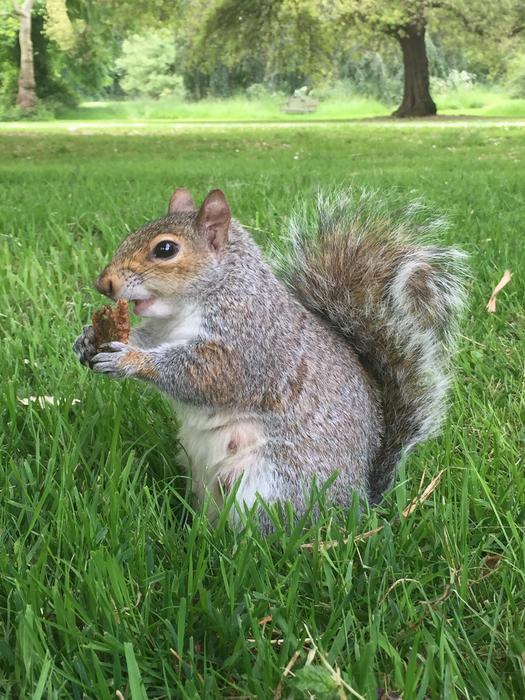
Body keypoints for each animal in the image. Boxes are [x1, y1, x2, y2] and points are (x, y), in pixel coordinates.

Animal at [73, 187, 466, 529]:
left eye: (165, 249)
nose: (103, 283)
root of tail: (357, 506)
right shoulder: (160, 332)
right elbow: (144, 338)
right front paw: (88, 339)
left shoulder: (250, 342)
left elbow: (203, 375)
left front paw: (129, 361)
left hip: (267, 486)